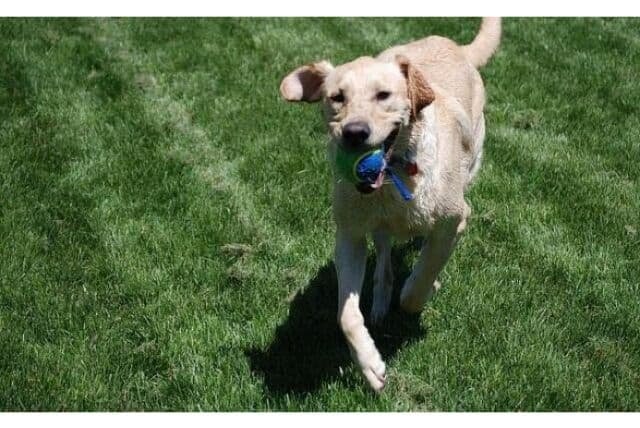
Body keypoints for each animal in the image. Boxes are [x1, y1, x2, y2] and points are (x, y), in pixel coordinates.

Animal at [280, 17, 500, 392]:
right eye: (337, 98)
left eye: (383, 95)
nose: (354, 132)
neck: (394, 180)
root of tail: (457, 47)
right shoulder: (350, 236)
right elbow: (346, 315)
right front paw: (370, 364)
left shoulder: (455, 219)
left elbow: (422, 277)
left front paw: (420, 290)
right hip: (376, 228)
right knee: (383, 257)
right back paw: (381, 301)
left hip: (473, 160)